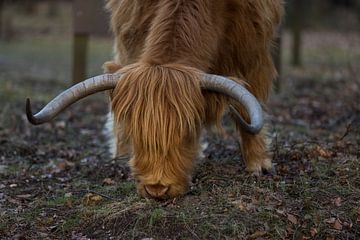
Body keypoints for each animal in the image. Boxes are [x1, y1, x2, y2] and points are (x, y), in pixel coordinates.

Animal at [26, 0, 284, 199]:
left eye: (188, 132)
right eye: (137, 133)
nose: (157, 189)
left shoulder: (252, 50)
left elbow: (249, 103)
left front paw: (258, 163)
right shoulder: (132, 33)